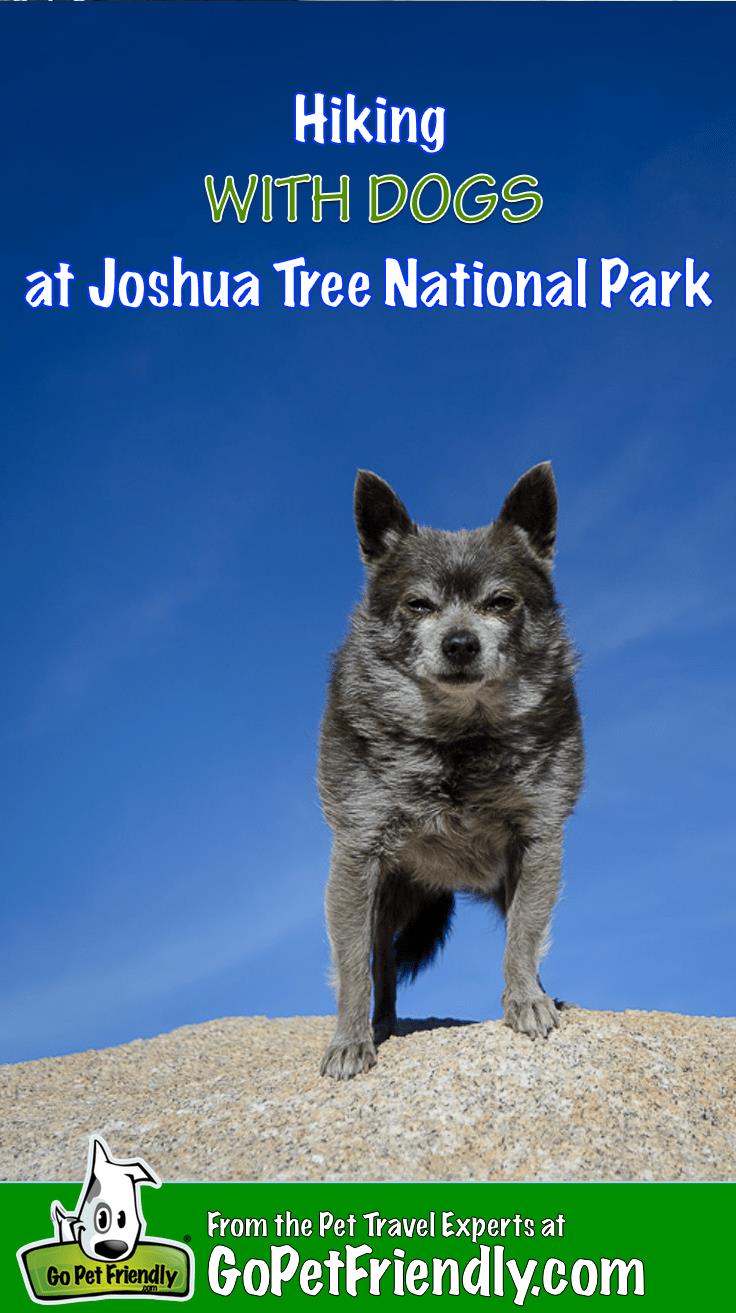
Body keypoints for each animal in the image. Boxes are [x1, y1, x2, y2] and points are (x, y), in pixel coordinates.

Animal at [318, 467, 582, 1081]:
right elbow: (352, 965)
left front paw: (526, 1000)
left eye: (502, 602)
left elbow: (525, 934)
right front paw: (349, 1040)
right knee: (382, 962)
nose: (460, 642)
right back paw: (383, 1024)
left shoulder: (538, 843)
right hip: (390, 895)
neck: (460, 737)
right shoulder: (356, 855)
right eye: (418, 605)